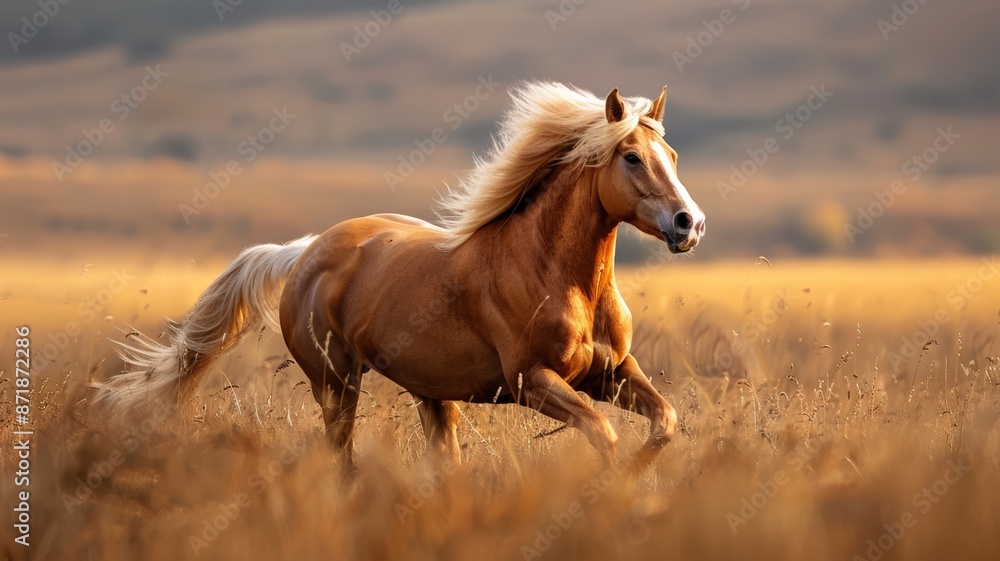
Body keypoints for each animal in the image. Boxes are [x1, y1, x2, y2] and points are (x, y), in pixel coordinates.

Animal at [95, 82, 706, 470]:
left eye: (672, 154)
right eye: (631, 157)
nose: (689, 223)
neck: (561, 278)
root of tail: (305, 253)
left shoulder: (612, 372)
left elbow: (665, 422)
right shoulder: (532, 382)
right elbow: (605, 436)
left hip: (432, 397)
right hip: (336, 385)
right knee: (341, 460)